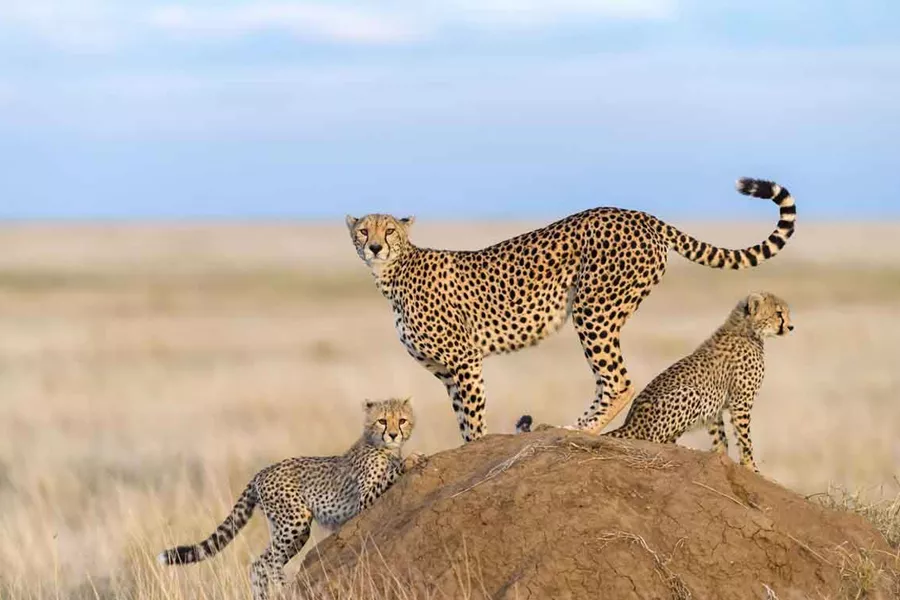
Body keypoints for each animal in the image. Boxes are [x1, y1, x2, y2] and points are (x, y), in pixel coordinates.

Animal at [157, 397, 425, 600]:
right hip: (294, 522)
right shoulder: (364, 498)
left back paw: (263, 596)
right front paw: (411, 459)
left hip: (289, 529)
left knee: (259, 564)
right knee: (269, 562)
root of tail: (262, 472)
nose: (393, 434)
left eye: (402, 420)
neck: (382, 447)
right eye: (382, 421)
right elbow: (390, 474)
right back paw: (285, 587)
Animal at [347, 177, 796, 443]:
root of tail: (637, 214)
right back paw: (575, 427)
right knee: (609, 380)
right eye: (363, 230)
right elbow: (461, 417)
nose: (375, 246)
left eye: (390, 230)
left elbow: (473, 419)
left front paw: (477, 446)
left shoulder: (464, 360)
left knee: (619, 381)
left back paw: (583, 430)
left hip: (593, 308)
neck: (393, 273)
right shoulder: (447, 371)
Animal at [517, 291, 793, 472]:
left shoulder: (716, 407)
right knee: (656, 440)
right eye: (779, 313)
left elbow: (720, 438)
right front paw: (752, 468)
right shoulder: (740, 403)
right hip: (689, 393)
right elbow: (745, 439)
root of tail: (631, 421)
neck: (747, 329)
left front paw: (721, 458)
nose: (791, 327)